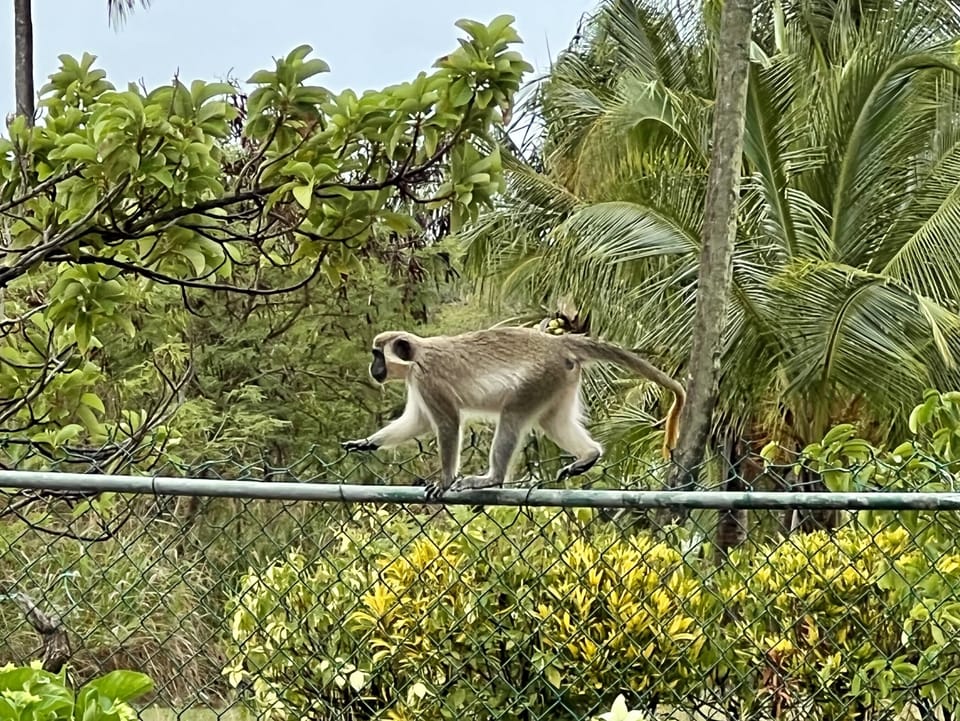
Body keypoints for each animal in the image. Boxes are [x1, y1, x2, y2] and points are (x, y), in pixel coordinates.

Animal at [341, 326, 685, 500]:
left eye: (377, 355)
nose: (373, 368)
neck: (418, 356)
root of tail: (558, 344)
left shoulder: (428, 379)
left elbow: (448, 423)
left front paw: (446, 479)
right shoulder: (418, 381)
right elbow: (419, 421)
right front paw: (368, 442)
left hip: (539, 378)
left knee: (512, 417)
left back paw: (492, 479)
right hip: (559, 379)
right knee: (552, 420)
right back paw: (589, 455)